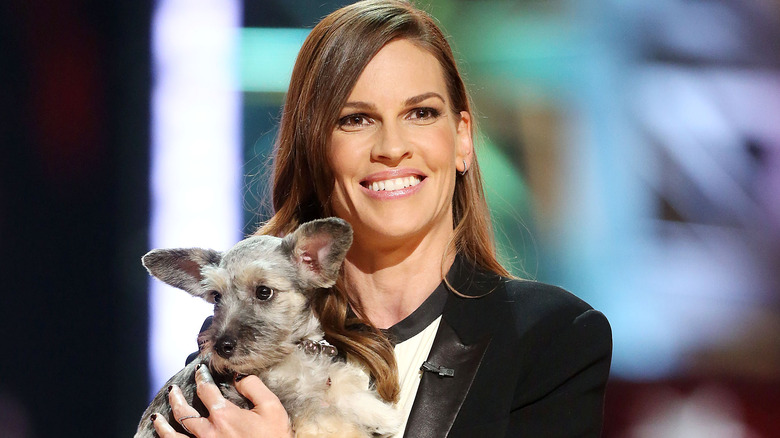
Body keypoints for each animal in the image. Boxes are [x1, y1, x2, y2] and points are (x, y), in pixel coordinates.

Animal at [134, 219, 400, 438]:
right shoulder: (297, 406)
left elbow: (344, 385)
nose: (221, 347)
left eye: (264, 292)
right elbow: (331, 423)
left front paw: (381, 414)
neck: (292, 353)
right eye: (216, 297)